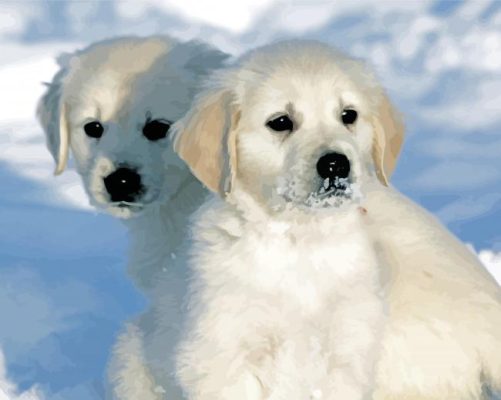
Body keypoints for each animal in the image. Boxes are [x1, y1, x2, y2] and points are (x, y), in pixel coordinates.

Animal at [172, 39, 394, 400]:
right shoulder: (224, 355)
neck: (299, 241)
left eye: (349, 115)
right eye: (280, 122)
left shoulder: (347, 350)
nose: (335, 164)